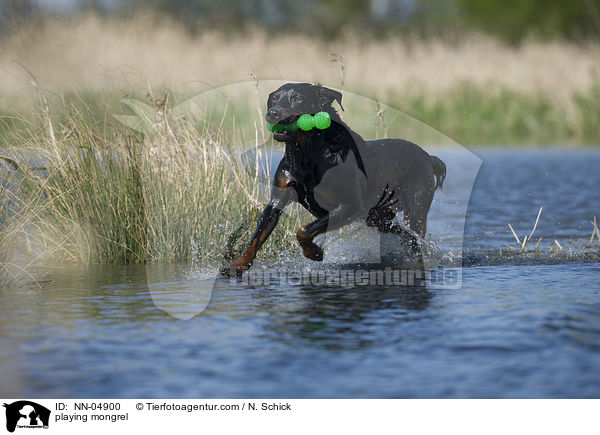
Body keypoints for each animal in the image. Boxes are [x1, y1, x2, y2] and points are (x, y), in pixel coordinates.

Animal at [225, 82, 446, 276]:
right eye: (274, 98)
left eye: (298, 98)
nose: (273, 113)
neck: (305, 153)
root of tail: (429, 158)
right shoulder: (278, 199)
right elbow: (257, 237)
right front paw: (237, 265)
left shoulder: (350, 205)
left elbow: (303, 230)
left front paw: (314, 252)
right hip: (378, 217)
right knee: (407, 237)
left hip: (416, 207)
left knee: (415, 237)